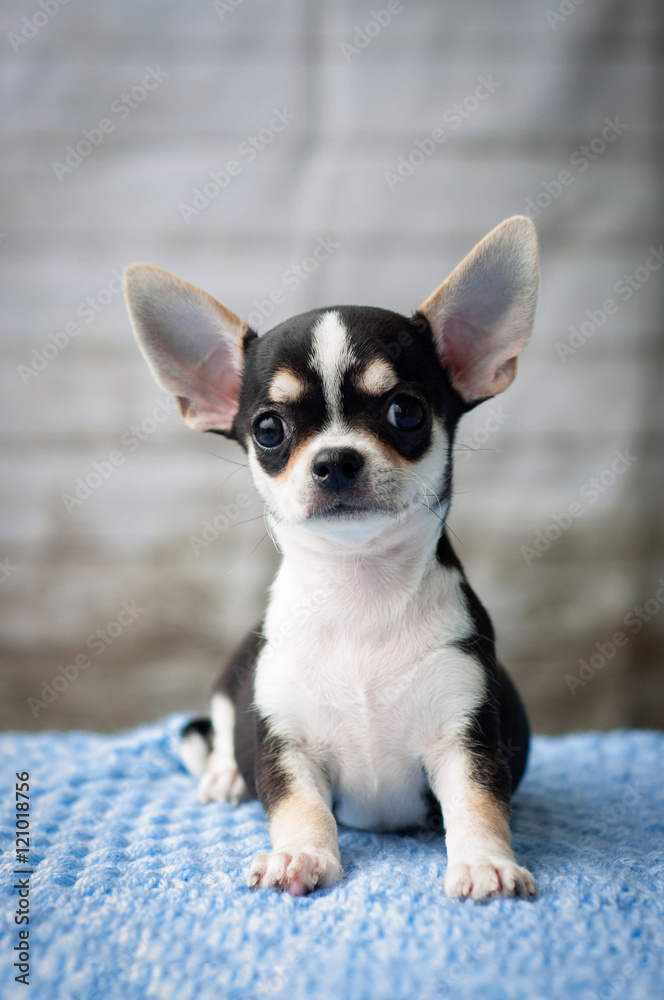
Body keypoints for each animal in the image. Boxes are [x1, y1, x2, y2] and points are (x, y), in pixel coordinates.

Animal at [123, 215, 540, 904]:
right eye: (268, 430)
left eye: (406, 412)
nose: (336, 459)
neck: (358, 589)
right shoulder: (286, 746)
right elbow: (301, 805)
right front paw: (299, 854)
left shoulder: (465, 738)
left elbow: (479, 803)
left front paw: (485, 862)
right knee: (214, 735)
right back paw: (224, 777)